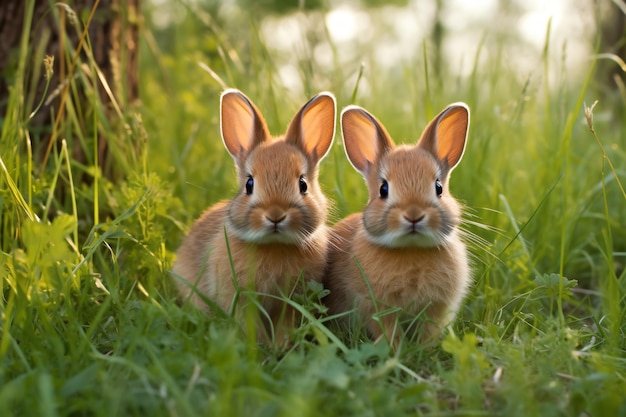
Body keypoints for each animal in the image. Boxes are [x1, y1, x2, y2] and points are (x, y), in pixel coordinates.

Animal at [171, 88, 336, 342]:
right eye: (249, 184)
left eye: (303, 184)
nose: (275, 215)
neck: (274, 245)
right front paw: (259, 344)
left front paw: (280, 345)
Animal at [322, 102, 468, 346]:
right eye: (384, 189)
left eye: (438, 187)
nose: (414, 215)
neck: (411, 249)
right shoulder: (375, 307)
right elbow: (388, 330)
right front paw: (396, 348)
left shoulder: (436, 309)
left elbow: (428, 331)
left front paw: (424, 348)